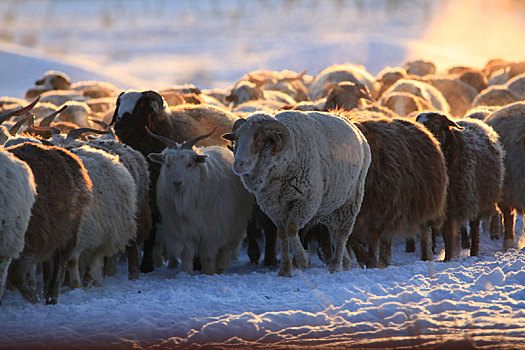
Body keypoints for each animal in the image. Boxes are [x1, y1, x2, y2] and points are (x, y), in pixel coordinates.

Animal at [147, 129, 254, 276]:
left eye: (189, 164)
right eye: (168, 165)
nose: (177, 183)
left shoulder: (213, 229)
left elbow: (208, 255)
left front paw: (208, 272)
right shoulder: (183, 229)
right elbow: (186, 253)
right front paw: (187, 273)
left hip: (233, 226)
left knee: (225, 250)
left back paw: (220, 267)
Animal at [223, 110, 370, 276]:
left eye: (260, 139)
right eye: (237, 138)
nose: (238, 165)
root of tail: (353, 126)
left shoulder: (304, 201)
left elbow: (291, 229)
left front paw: (302, 258)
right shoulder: (275, 207)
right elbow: (282, 234)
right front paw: (285, 270)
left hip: (351, 201)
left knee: (343, 234)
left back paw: (335, 266)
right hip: (330, 206)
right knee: (334, 231)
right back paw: (346, 262)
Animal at [414, 112, 504, 260]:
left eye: (437, 122)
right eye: (418, 119)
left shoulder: (453, 204)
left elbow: (448, 232)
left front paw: (449, 257)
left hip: (474, 198)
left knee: (474, 225)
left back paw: (473, 251)